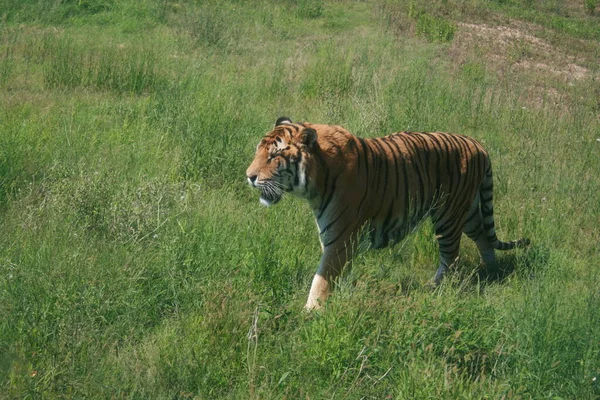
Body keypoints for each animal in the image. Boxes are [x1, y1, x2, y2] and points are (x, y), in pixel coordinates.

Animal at [246, 117, 528, 310]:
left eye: (274, 156)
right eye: (259, 151)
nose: (249, 177)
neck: (315, 181)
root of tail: (477, 143)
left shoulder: (339, 238)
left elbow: (321, 279)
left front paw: (310, 313)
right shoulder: (338, 240)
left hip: (448, 216)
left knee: (451, 258)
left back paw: (434, 287)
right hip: (467, 211)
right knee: (483, 238)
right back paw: (492, 273)